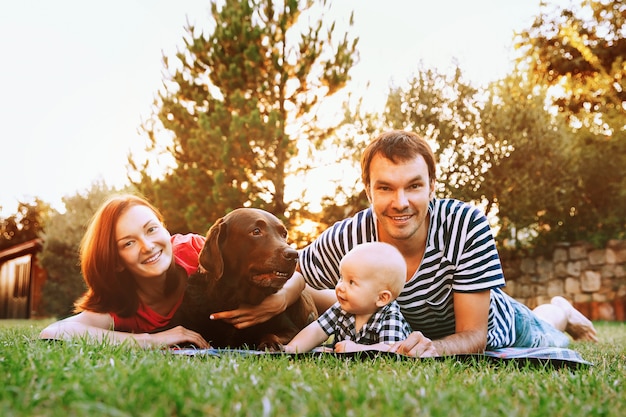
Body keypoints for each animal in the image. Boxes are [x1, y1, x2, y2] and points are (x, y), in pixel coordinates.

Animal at [169, 207, 314, 348]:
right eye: (256, 231)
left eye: (284, 234)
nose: (294, 254)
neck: (233, 299)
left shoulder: (291, 329)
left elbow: (272, 334)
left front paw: (270, 343)